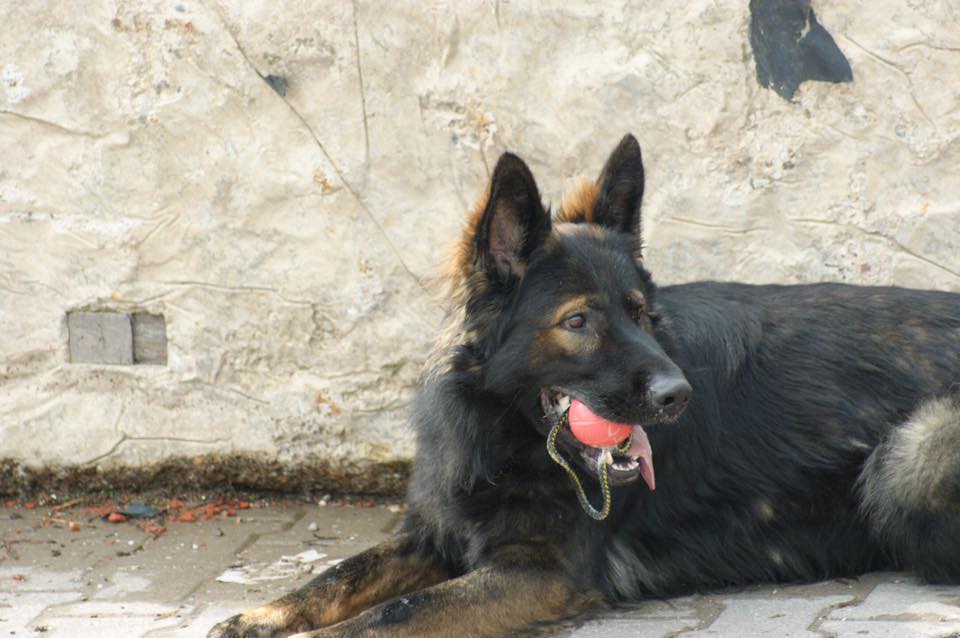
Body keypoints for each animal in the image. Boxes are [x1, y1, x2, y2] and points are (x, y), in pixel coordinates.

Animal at [210, 134, 960, 638]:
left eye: (641, 313)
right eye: (579, 321)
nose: (676, 396)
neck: (500, 434)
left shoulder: (539, 574)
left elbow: (393, 614)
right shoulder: (433, 535)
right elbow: (341, 573)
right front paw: (262, 613)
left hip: (907, 457)